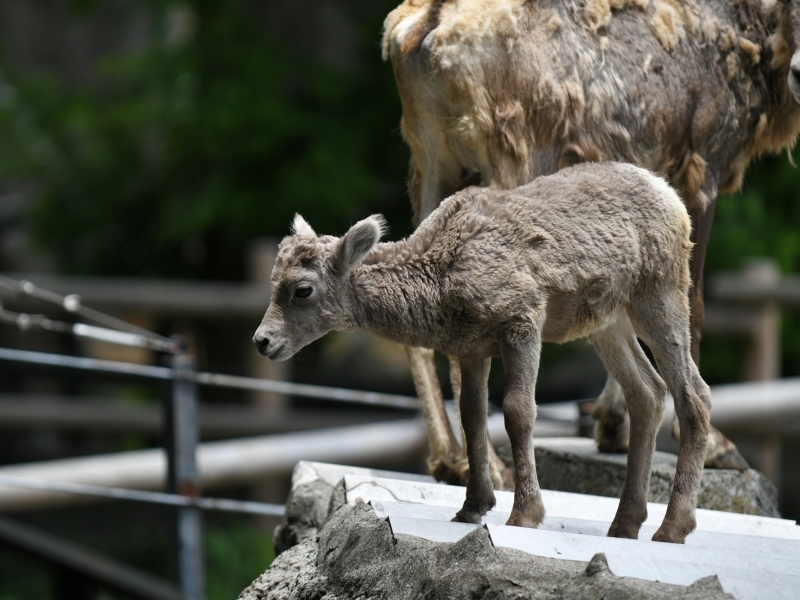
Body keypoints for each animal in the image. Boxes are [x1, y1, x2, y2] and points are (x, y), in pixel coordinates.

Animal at [255, 161, 712, 544]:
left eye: (302, 289)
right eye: (272, 280)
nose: (261, 340)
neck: (439, 287)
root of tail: (674, 200)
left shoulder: (523, 319)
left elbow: (517, 411)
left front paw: (525, 514)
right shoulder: (471, 348)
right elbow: (472, 415)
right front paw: (472, 507)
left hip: (660, 291)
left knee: (695, 393)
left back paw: (672, 528)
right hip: (607, 321)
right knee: (648, 392)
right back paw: (625, 524)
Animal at [380, 0, 800, 482]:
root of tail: (419, 36)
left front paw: (613, 426)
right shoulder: (701, 167)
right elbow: (692, 308)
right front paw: (716, 445)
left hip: (432, 161)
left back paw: (451, 460)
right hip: (509, 159)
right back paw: (487, 470)